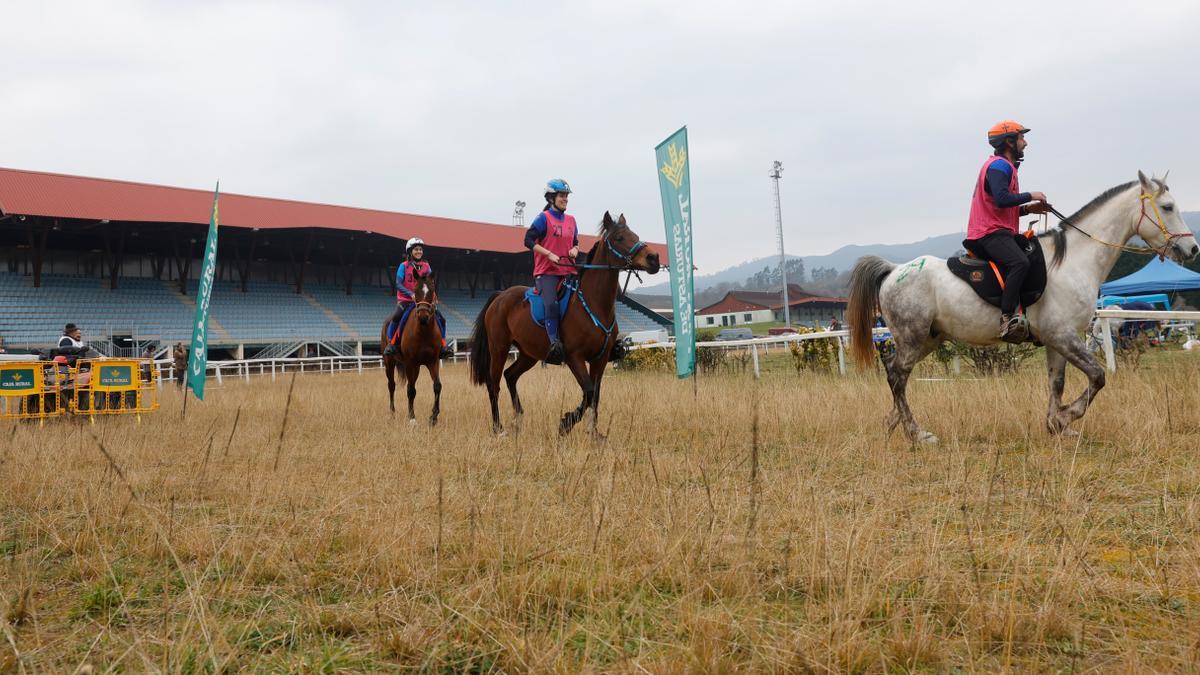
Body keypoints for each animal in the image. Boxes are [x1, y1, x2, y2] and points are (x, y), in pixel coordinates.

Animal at [379, 270, 446, 422]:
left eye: (432, 290)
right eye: (415, 290)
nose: (423, 316)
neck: (423, 331)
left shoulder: (432, 361)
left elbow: (437, 386)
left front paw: (434, 416)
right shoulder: (411, 362)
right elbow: (411, 390)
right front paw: (412, 418)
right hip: (389, 362)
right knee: (392, 385)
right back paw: (392, 413)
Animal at [465, 214, 662, 437]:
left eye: (635, 235)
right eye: (619, 238)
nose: (654, 258)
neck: (594, 303)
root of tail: (500, 296)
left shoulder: (600, 359)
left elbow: (595, 395)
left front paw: (593, 433)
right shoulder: (575, 358)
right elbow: (589, 391)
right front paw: (567, 423)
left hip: (529, 354)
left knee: (510, 376)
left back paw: (518, 420)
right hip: (499, 348)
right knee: (493, 384)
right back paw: (498, 428)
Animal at [849, 171, 1195, 441]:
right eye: (1167, 207)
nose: (1192, 248)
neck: (1075, 260)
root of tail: (893, 269)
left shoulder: (1057, 341)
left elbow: (1057, 382)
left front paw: (1057, 424)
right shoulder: (1063, 336)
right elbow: (1097, 376)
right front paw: (1066, 417)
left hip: (927, 340)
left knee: (896, 374)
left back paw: (893, 422)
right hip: (913, 337)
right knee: (897, 376)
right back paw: (916, 431)